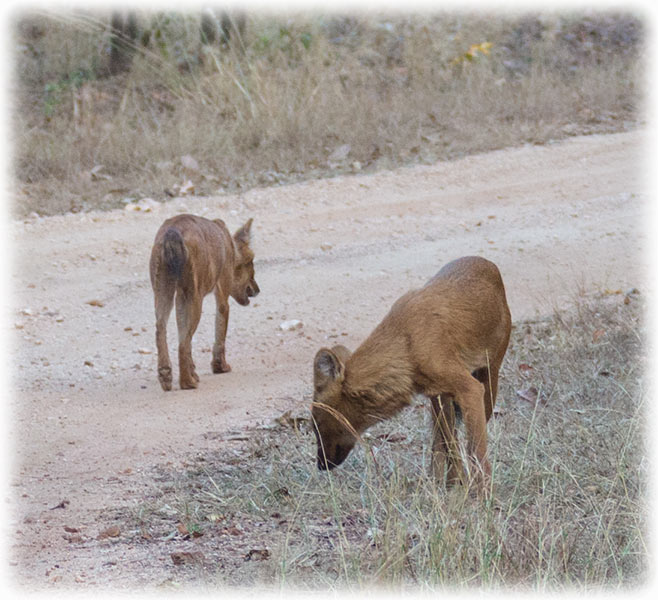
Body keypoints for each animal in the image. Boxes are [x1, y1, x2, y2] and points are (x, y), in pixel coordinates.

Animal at [149, 213, 258, 392]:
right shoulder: (222, 295)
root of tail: (171, 233)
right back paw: (187, 382)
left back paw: (166, 376)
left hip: (163, 291)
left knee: (161, 330)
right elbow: (220, 333)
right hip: (193, 296)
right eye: (250, 262)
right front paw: (220, 367)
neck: (229, 244)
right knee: (183, 342)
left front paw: (194, 370)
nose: (257, 289)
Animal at [310, 256, 510, 488]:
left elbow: (476, 450)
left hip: (490, 377)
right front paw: (453, 486)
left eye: (316, 424)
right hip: (440, 400)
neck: (406, 345)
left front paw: (481, 493)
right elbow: (448, 442)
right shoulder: (436, 392)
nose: (320, 465)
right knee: (443, 439)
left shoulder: (470, 389)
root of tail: (487, 262)